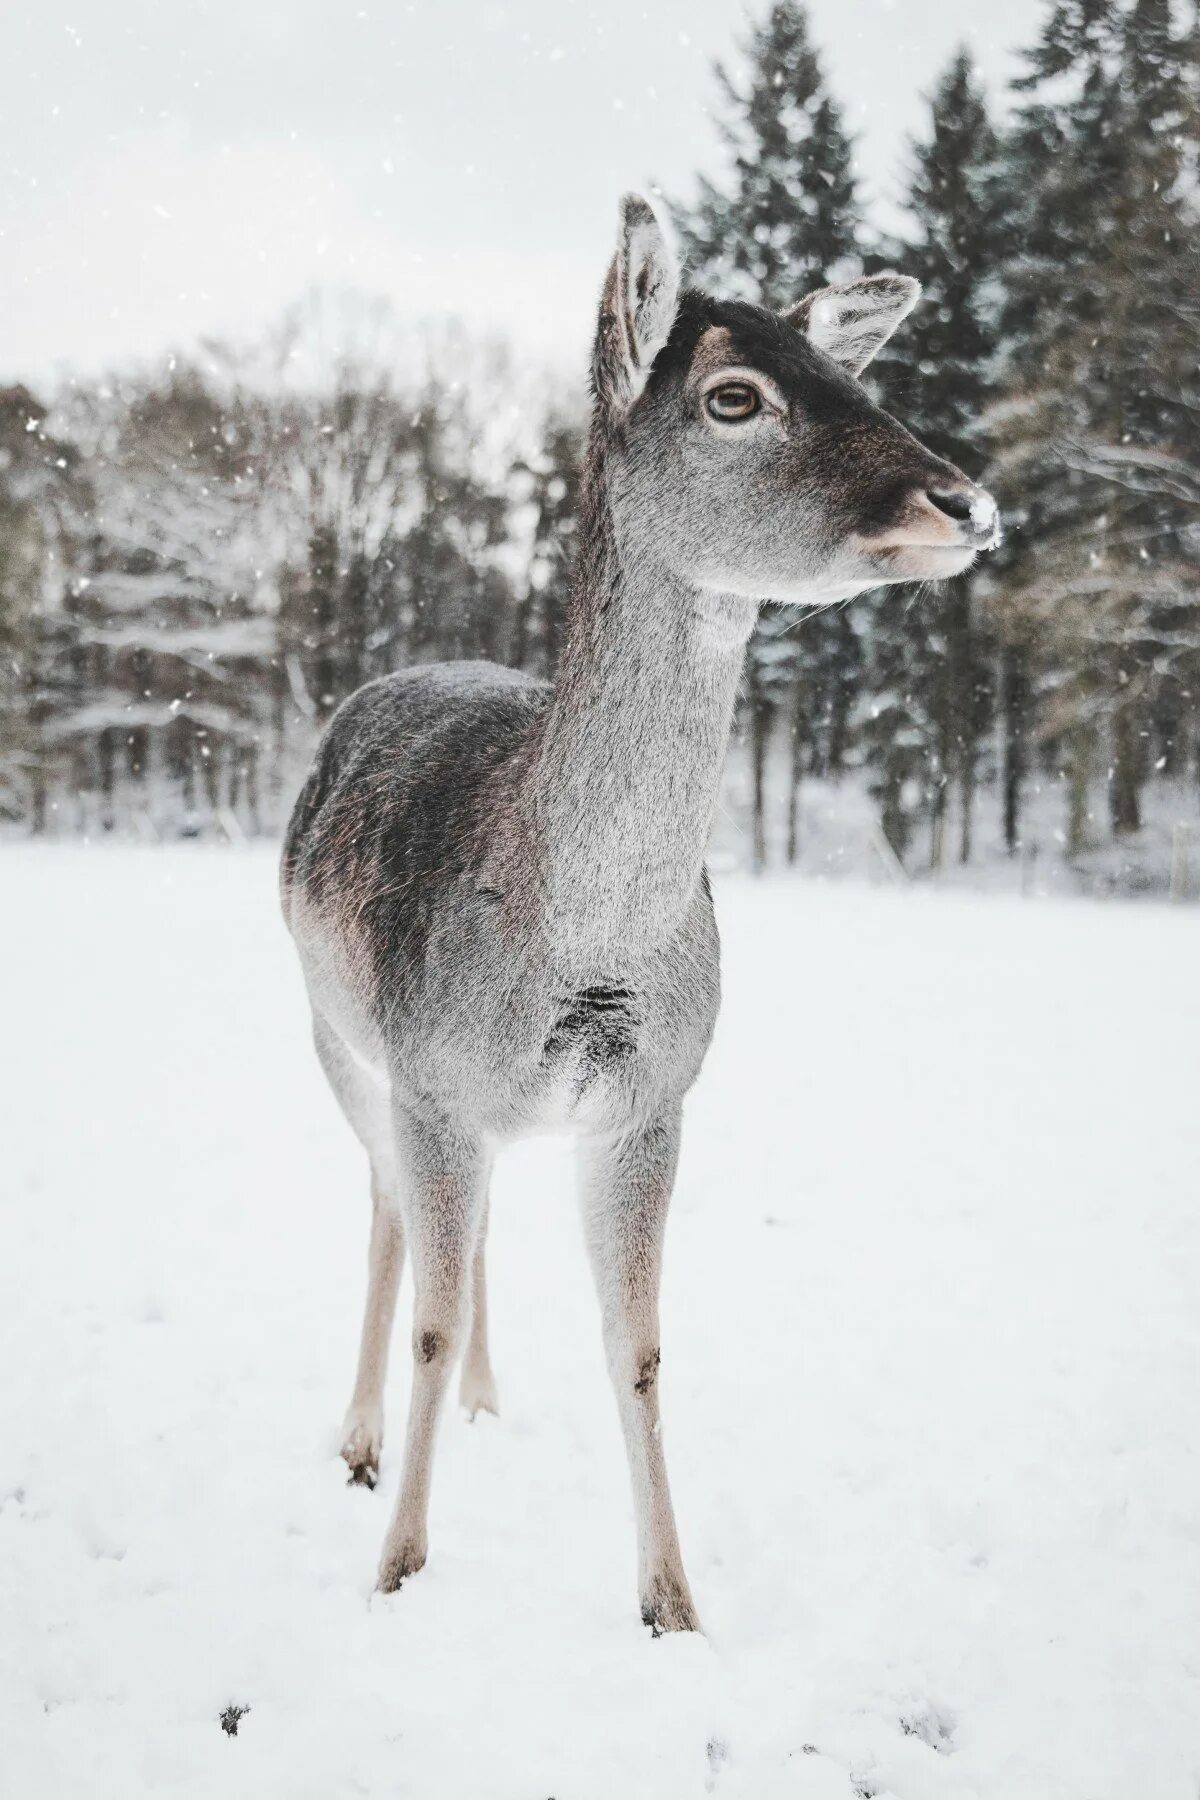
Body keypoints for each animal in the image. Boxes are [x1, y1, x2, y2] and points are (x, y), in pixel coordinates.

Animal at [277, 193, 1000, 1634]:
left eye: (857, 374)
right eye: (734, 396)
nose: (965, 499)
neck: (588, 946)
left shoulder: (655, 1096)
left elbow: (643, 1344)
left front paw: (672, 1602)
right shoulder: (432, 1077)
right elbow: (431, 1311)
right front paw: (398, 1568)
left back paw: (487, 1401)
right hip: (334, 1035)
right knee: (386, 1206)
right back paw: (360, 1439)